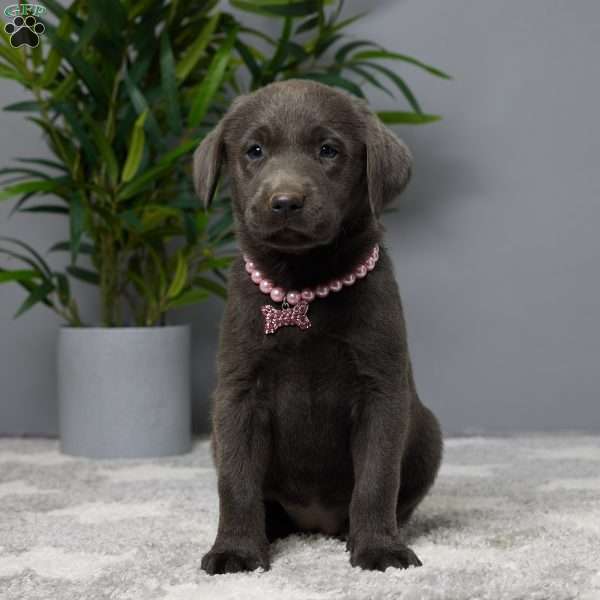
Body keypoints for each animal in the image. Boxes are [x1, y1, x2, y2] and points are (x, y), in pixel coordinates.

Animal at [195, 77, 442, 576]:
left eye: (328, 150)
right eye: (254, 150)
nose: (285, 202)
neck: (302, 289)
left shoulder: (381, 390)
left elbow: (376, 479)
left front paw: (378, 548)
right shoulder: (238, 392)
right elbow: (236, 481)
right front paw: (236, 550)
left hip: (428, 433)